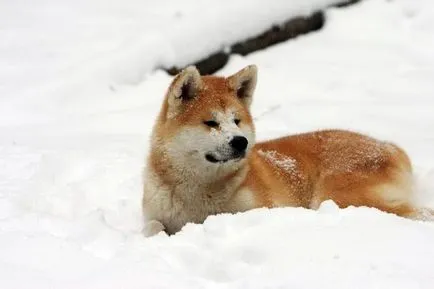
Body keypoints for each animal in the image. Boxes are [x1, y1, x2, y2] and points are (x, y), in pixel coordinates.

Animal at [142, 64, 430, 235]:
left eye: (237, 120)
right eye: (211, 123)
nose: (240, 141)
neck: (198, 194)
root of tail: (391, 148)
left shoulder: (265, 208)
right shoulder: (155, 216)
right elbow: (153, 228)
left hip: (335, 196)